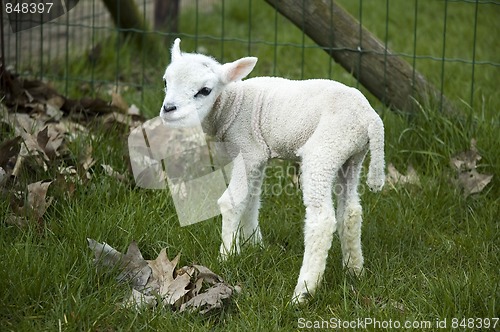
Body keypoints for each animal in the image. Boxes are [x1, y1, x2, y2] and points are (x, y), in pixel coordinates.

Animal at [158, 39, 384, 304]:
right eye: (165, 82)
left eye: (204, 90)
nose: (169, 109)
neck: (232, 104)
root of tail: (370, 118)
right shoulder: (257, 156)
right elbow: (252, 199)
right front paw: (254, 244)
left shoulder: (247, 150)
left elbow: (232, 201)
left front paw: (227, 255)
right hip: (351, 155)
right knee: (350, 211)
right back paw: (354, 269)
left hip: (324, 149)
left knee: (322, 219)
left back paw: (303, 291)